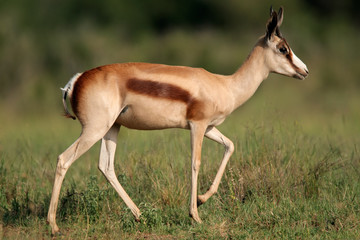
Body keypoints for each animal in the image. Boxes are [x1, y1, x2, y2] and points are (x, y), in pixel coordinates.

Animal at [47, 5, 306, 234]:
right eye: (283, 49)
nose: (304, 71)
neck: (225, 85)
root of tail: (77, 79)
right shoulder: (197, 125)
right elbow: (195, 163)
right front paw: (195, 215)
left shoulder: (209, 127)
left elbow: (230, 146)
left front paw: (201, 199)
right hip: (95, 129)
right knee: (63, 160)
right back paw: (53, 225)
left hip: (112, 128)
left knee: (106, 166)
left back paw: (139, 215)